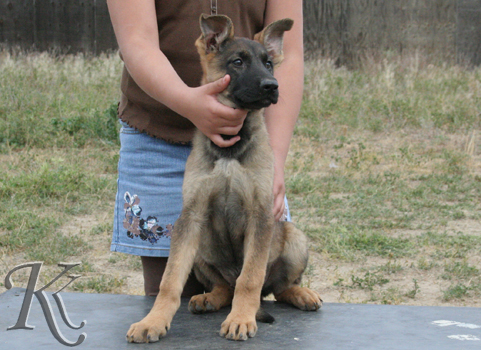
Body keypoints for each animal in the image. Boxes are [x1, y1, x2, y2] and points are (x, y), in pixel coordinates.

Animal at [125, 15, 320, 344]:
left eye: (269, 64)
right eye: (237, 62)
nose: (272, 86)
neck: (230, 145)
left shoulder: (260, 215)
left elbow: (250, 278)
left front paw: (241, 319)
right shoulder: (190, 216)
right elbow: (169, 280)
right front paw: (153, 320)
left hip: (294, 238)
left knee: (277, 288)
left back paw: (301, 293)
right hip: (202, 246)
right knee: (226, 286)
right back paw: (209, 298)